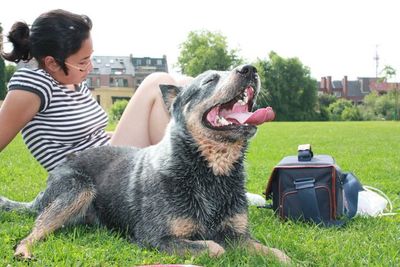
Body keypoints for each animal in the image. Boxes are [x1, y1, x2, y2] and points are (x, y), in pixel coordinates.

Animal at [0, 64, 290, 264]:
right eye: (210, 79)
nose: (249, 69)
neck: (210, 174)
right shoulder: (154, 237)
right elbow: (216, 247)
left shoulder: (239, 234)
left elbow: (276, 252)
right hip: (77, 190)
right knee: (32, 231)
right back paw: (24, 250)